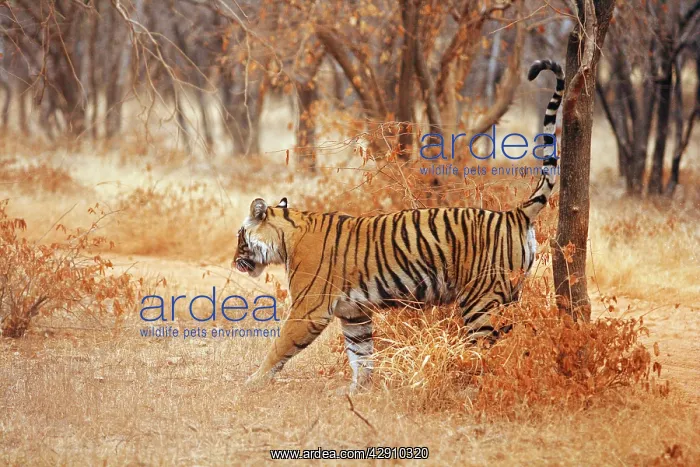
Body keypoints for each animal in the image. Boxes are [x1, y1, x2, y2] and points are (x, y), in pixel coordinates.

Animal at [234, 59, 565, 392]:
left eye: (240, 237)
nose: (235, 261)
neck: (286, 237)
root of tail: (515, 214)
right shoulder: (355, 313)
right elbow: (361, 353)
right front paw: (358, 390)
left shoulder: (308, 309)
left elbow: (279, 347)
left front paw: (252, 381)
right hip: (510, 295)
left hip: (481, 301)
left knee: (488, 347)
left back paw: (475, 386)